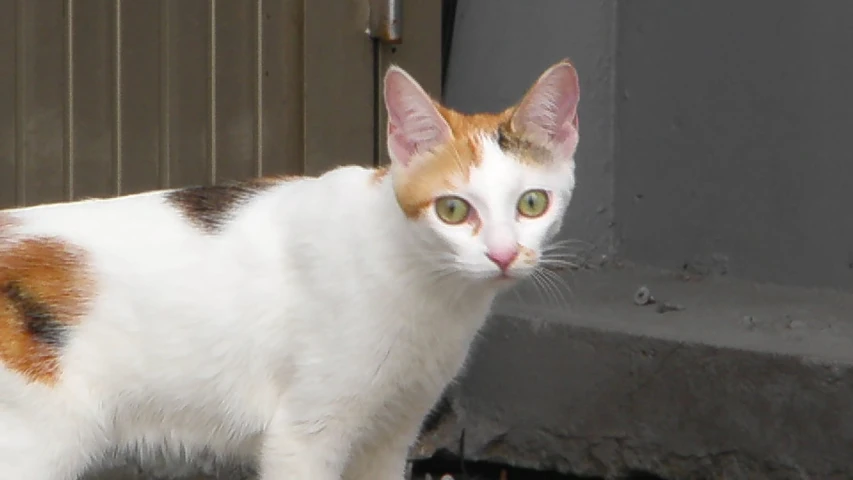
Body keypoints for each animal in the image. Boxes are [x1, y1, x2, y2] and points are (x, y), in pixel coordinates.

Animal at [0, 58, 580, 478]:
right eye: (454, 210)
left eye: (532, 204)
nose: (503, 254)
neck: (426, 287)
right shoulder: (305, 436)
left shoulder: (391, 435)